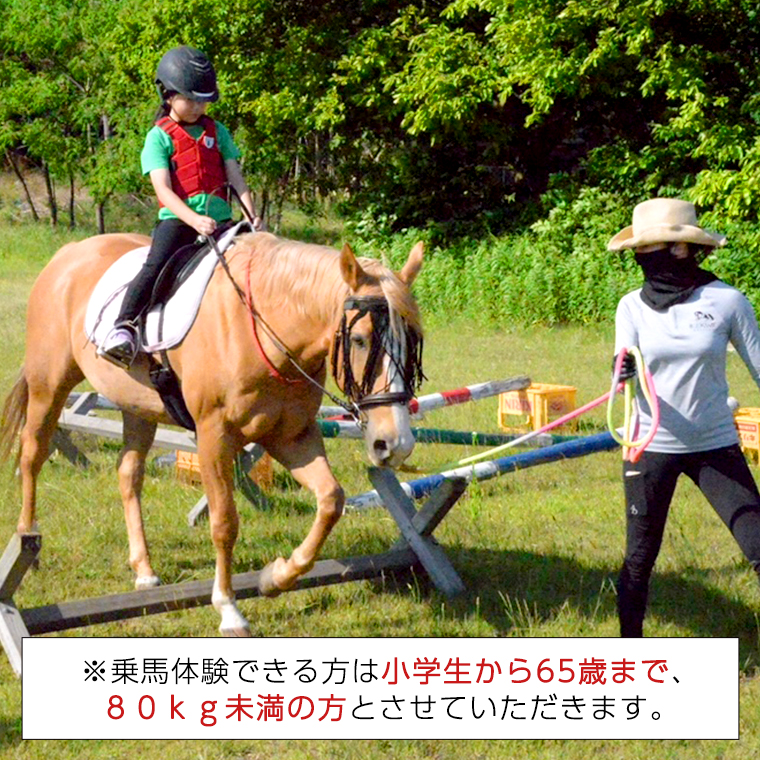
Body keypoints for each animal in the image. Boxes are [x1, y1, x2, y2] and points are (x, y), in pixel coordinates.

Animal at [0, 232, 424, 636]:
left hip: (137, 407)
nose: (395, 444)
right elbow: (224, 522)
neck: (265, 329)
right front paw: (228, 609)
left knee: (128, 474)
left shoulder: (292, 438)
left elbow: (331, 500)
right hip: (49, 384)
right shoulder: (213, 436)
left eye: (414, 343)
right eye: (360, 339)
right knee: (32, 454)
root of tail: (68, 253)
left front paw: (276, 577)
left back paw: (144, 570)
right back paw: (29, 541)